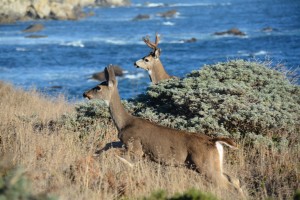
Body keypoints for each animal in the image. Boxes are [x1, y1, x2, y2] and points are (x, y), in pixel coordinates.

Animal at [83, 65, 245, 197]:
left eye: (98, 88)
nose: (85, 94)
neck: (124, 123)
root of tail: (214, 141)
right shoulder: (124, 142)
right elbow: (109, 144)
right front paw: (95, 154)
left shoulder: (135, 147)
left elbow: (120, 155)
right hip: (213, 164)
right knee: (235, 179)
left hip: (205, 165)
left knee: (229, 185)